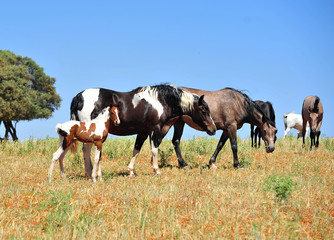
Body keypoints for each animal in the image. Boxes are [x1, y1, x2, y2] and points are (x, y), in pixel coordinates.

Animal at [70, 84, 217, 176]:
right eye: (203, 110)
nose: (213, 129)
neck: (159, 101)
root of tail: (78, 97)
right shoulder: (155, 130)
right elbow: (154, 150)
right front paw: (157, 170)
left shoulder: (143, 132)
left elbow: (136, 150)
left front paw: (130, 171)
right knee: (86, 150)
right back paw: (90, 173)